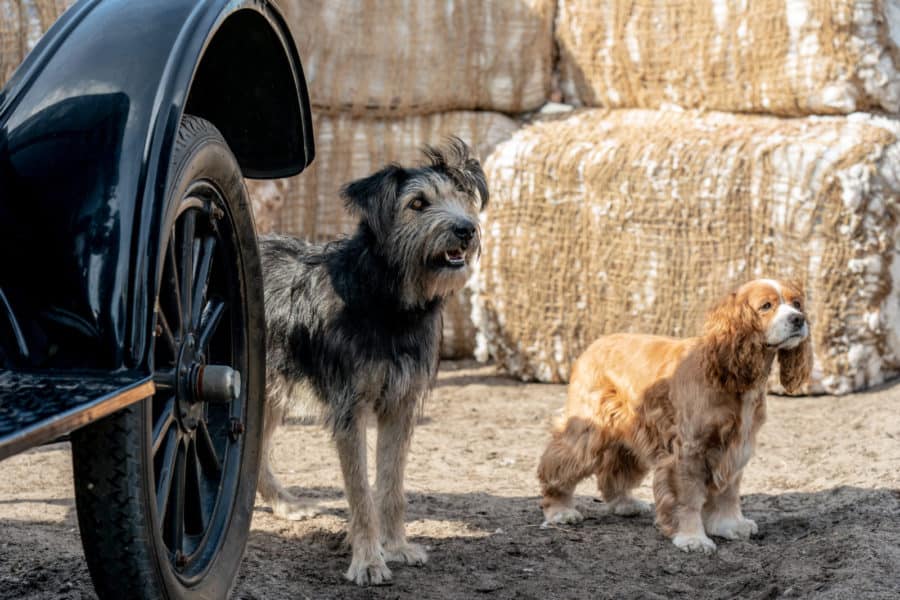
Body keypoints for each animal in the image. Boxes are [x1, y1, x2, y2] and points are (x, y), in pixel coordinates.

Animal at [256, 138, 488, 584]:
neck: (388, 300)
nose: (466, 229)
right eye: (417, 203)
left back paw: (286, 504)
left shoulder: (400, 405)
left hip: (270, 394)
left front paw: (395, 546)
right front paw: (367, 559)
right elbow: (361, 491)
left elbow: (391, 484)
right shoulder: (351, 408)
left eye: (460, 198)